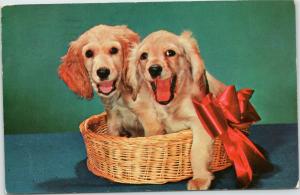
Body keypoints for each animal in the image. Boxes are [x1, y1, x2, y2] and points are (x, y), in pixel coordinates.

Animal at [125, 30, 226, 189]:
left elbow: (197, 150)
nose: (154, 69)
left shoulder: (200, 121)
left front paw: (200, 179)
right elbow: (152, 132)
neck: (168, 106)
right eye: (143, 56)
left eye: (170, 53)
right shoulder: (147, 115)